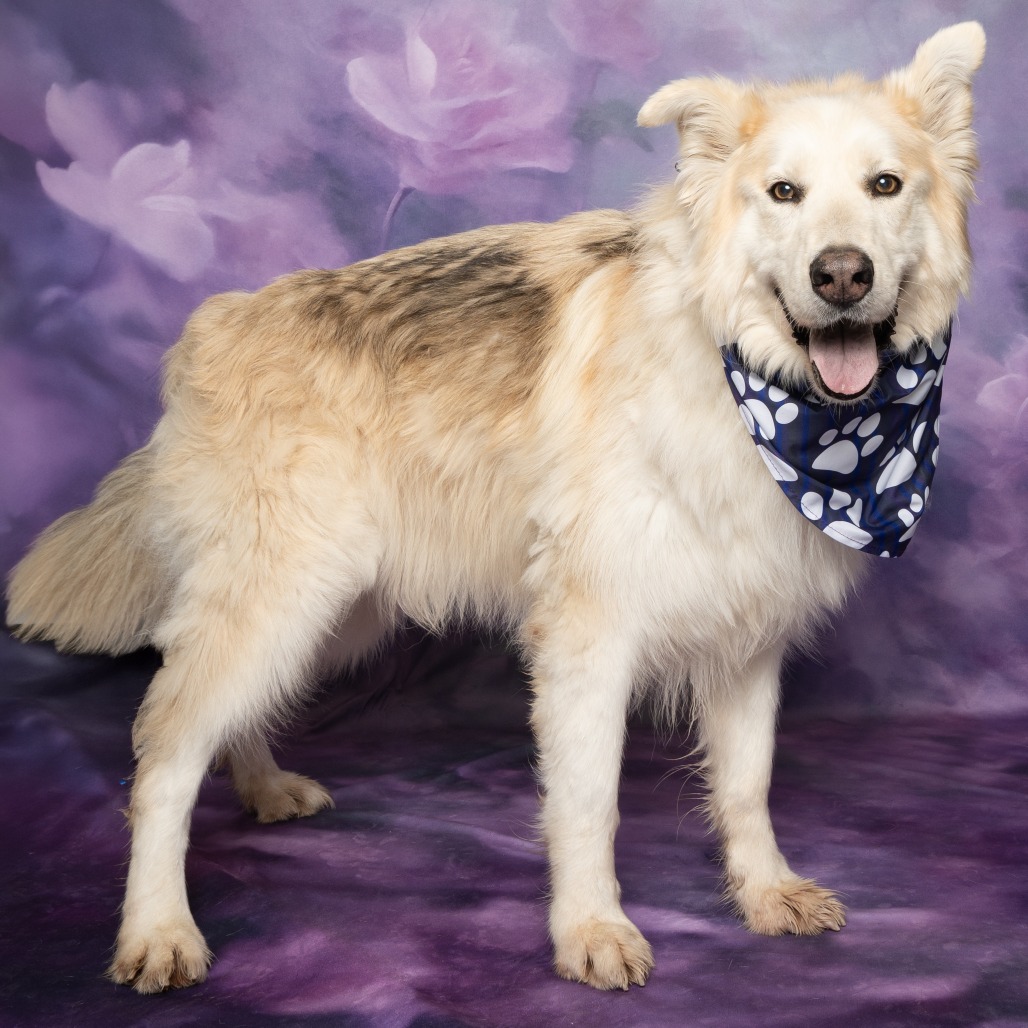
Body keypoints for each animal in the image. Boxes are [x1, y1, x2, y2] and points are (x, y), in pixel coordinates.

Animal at [6, 22, 984, 993]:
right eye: (784, 193)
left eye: (885, 185)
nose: (842, 275)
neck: (743, 379)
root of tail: (217, 325)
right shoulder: (587, 644)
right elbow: (588, 803)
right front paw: (590, 928)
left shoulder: (746, 641)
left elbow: (747, 786)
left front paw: (763, 891)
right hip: (282, 602)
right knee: (166, 750)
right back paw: (158, 928)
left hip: (331, 613)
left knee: (221, 712)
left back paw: (262, 789)